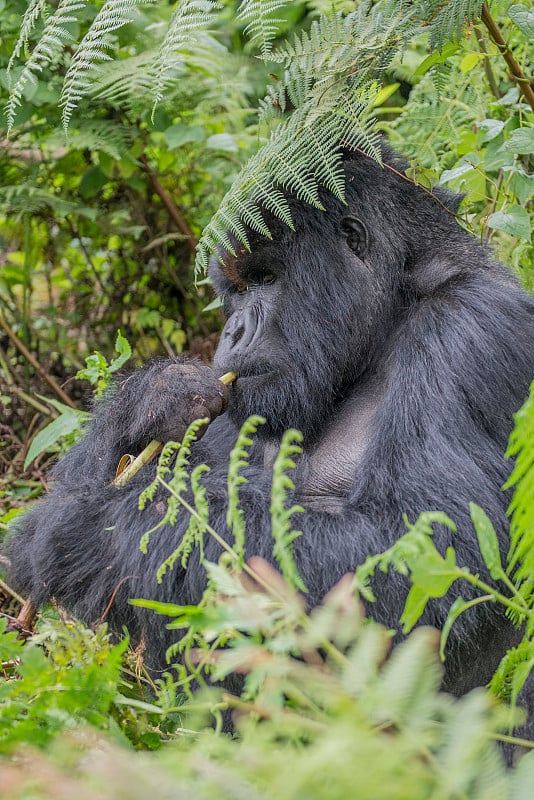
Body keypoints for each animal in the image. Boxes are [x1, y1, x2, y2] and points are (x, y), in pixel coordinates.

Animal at [6, 148, 534, 732]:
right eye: (235, 292)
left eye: (265, 278)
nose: (233, 331)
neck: (395, 304)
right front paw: (159, 397)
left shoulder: (472, 330)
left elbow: (432, 554)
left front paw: (84, 534)